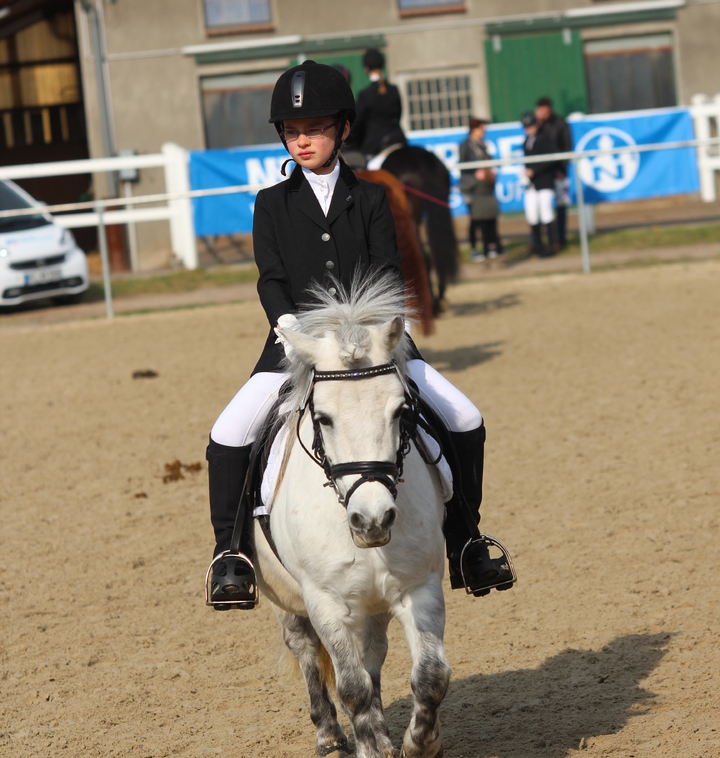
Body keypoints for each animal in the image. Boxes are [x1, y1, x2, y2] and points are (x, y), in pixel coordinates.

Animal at [252, 274, 450, 758]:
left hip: (372, 605)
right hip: (284, 599)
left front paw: (421, 744)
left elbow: (431, 675)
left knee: (371, 654)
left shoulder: (420, 588)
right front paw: (372, 748)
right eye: (323, 418)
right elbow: (352, 689)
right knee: (308, 654)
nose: (373, 520)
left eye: (402, 411)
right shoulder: (326, 603)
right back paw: (329, 735)